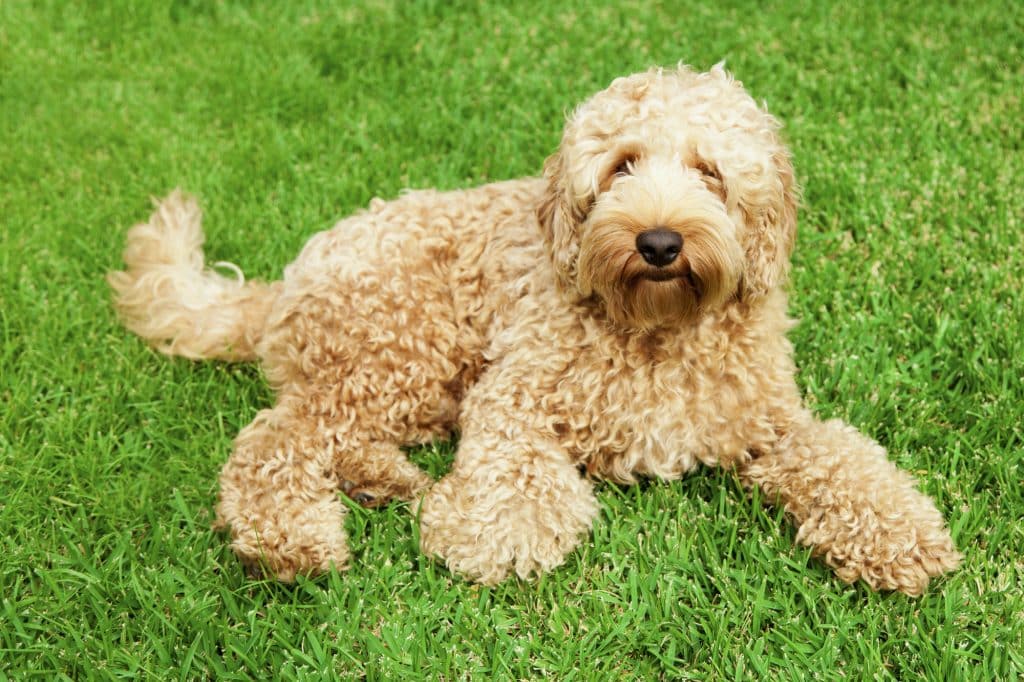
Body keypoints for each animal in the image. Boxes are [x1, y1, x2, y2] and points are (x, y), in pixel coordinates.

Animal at [110, 65, 958, 593]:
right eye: (621, 165)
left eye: (710, 172)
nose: (658, 241)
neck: (655, 329)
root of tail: (286, 280)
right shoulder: (514, 393)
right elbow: (513, 470)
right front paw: (496, 535)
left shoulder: (769, 423)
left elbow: (843, 459)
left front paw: (902, 537)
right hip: (402, 347)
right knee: (275, 441)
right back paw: (295, 542)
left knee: (328, 436)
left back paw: (388, 482)